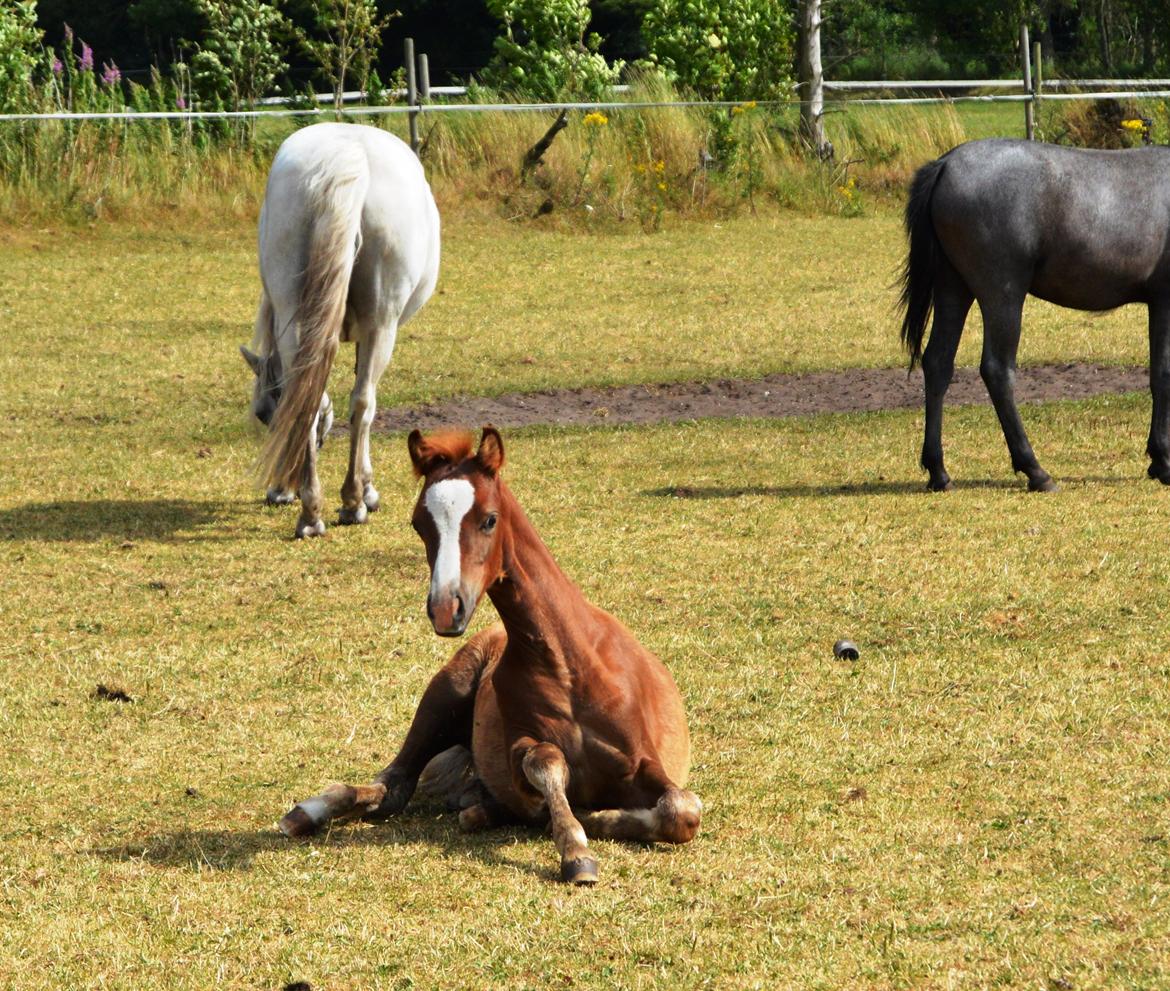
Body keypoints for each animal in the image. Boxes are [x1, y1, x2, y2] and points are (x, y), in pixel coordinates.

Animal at [240, 122, 440, 538]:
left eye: (265, 414)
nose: (279, 491)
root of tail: (346, 155)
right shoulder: (369, 334)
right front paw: (367, 490)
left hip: (295, 314)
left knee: (308, 401)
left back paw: (311, 514)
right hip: (382, 326)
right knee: (363, 402)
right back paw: (351, 503)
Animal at [279, 427, 702, 885]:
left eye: (489, 519)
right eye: (419, 524)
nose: (446, 608)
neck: (570, 664)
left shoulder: (644, 760)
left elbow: (681, 809)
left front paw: (590, 821)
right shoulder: (521, 750)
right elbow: (545, 762)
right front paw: (576, 845)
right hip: (444, 696)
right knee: (393, 787)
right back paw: (307, 812)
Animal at [899, 138, 1170, 492]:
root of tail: (946, 164)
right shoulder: (1165, 301)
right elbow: (1163, 374)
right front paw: (1164, 461)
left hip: (952, 289)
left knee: (938, 363)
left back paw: (938, 472)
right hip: (1003, 295)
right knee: (997, 370)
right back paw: (1035, 470)